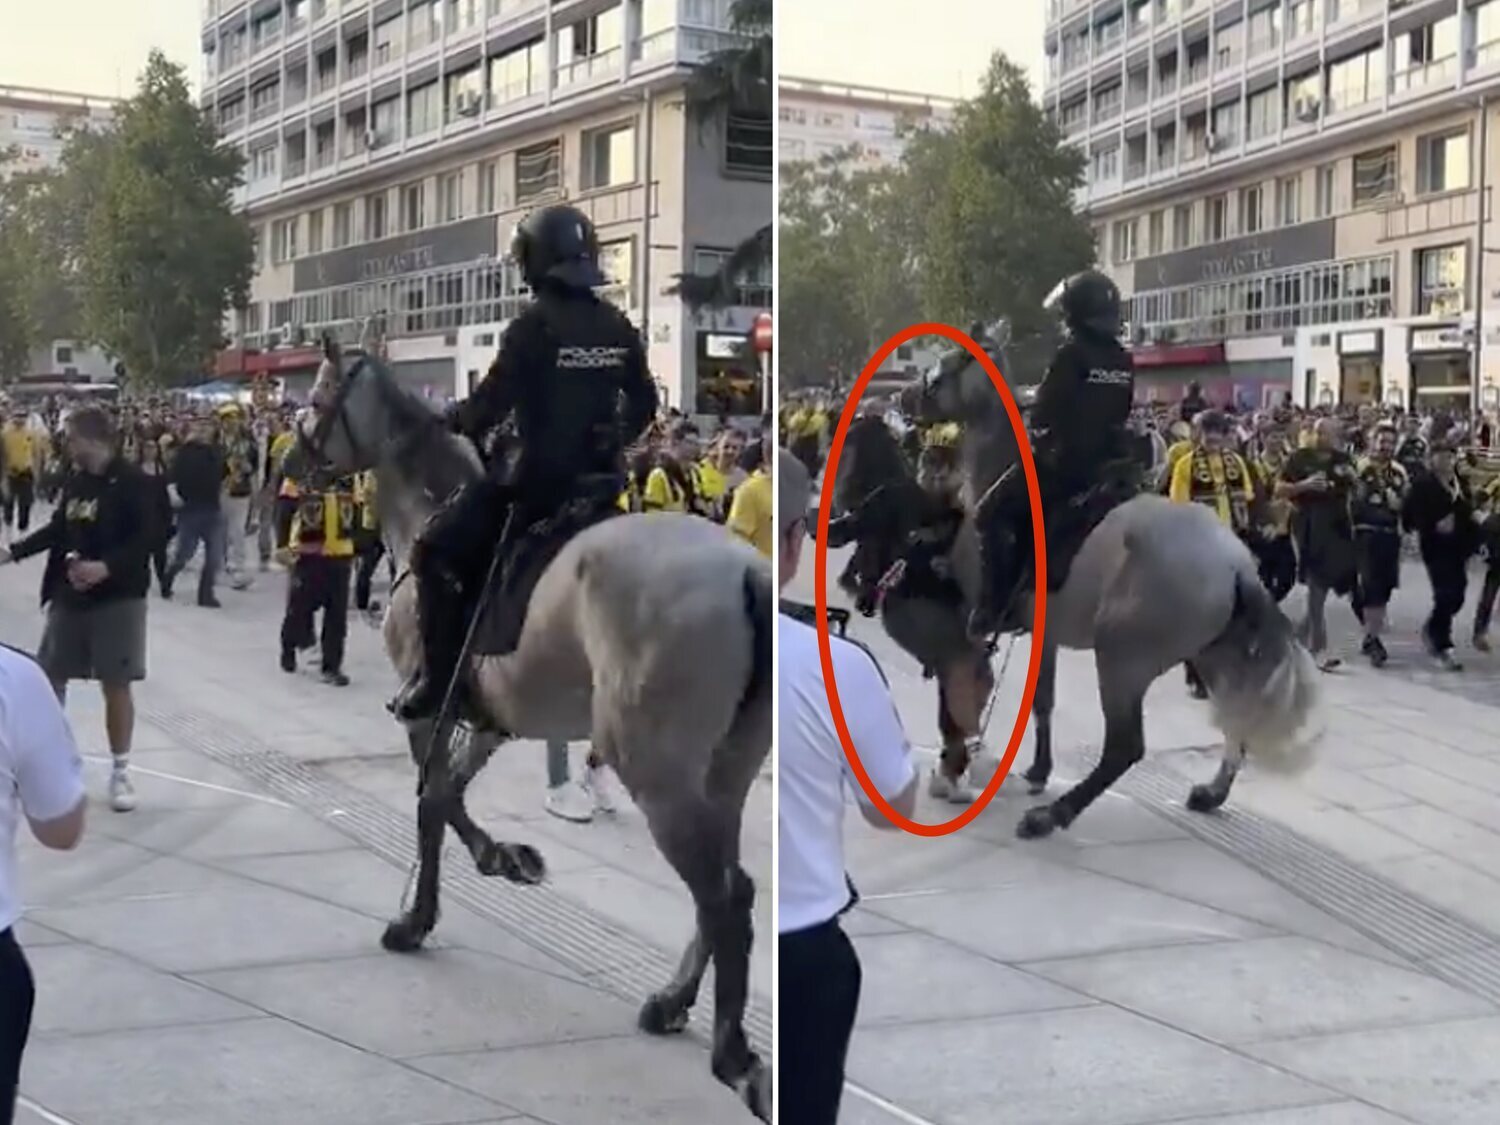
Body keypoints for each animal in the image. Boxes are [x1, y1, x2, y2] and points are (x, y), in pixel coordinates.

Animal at [289, 351, 774, 1122]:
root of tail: (746, 572)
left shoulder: (428, 707)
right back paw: (673, 1001)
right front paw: (506, 858)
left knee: (722, 896)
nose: (294, 456)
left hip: (658, 773)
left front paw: (420, 916)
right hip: (724, 771)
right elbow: (451, 796)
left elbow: (431, 804)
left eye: (317, 395)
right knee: (730, 888)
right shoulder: (492, 718)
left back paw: (733, 1055)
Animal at [858, 342, 1326, 840]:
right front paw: (1038, 769)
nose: (902, 398)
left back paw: (1052, 815)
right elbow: (1043, 701)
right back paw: (1211, 792)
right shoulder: (1046, 631)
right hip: (1216, 653)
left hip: (1123, 659)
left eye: (942, 369)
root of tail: (1234, 560)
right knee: (1239, 719)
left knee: (1125, 747)